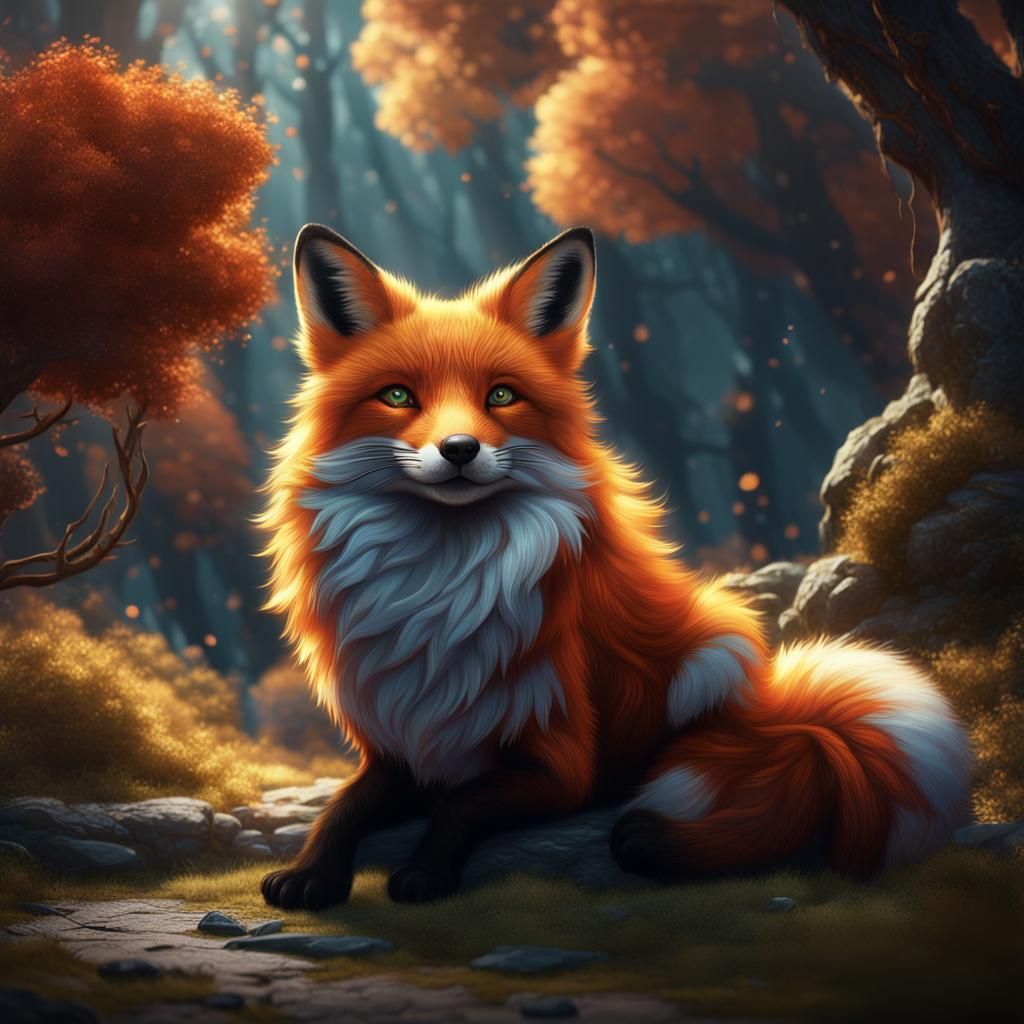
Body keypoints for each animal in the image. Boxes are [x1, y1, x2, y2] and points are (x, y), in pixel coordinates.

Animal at [259, 223, 972, 909]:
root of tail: (774, 706)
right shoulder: (403, 747)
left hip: (712, 652)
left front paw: (427, 873)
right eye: (399, 395)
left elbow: (462, 805)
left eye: (502, 396)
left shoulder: (560, 765)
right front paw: (311, 873)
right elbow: (344, 807)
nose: (459, 449)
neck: (439, 593)